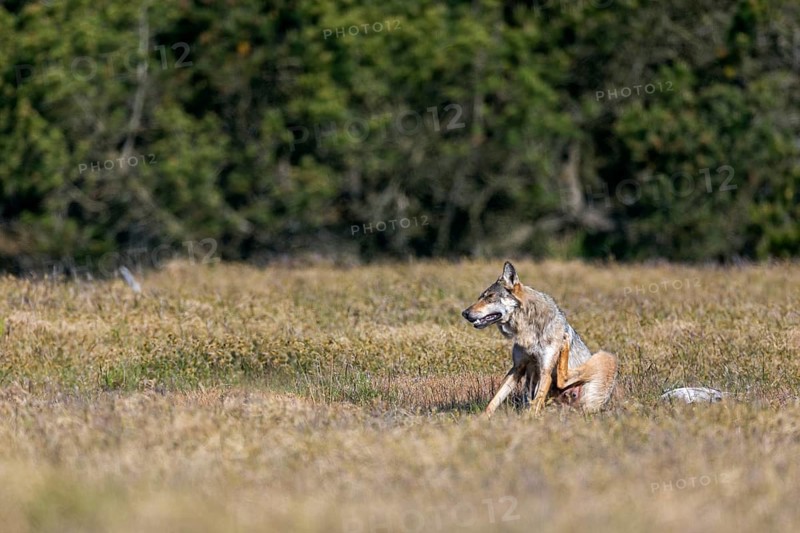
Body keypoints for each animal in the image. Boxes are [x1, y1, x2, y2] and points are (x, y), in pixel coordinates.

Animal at [462, 262, 617, 416]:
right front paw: (482, 419)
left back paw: (565, 343)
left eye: (490, 297)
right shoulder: (517, 368)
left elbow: (534, 405)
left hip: (606, 356)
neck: (527, 329)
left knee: (563, 378)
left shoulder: (545, 371)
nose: (464, 313)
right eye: (480, 297)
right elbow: (494, 401)